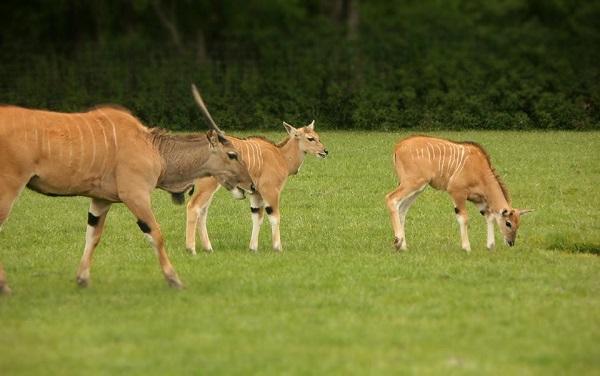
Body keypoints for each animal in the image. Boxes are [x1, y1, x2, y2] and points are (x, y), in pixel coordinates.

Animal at [0, 85, 253, 294]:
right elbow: (156, 235)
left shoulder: (100, 200)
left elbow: (93, 236)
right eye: (232, 154)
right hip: (9, 188)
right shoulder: (136, 195)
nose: (250, 185)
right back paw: (5, 287)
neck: (154, 148)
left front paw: (82, 279)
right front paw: (174, 280)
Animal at [188, 122, 328, 254]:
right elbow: (275, 217)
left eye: (318, 137)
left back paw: (208, 248)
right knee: (193, 207)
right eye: (310, 138)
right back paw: (191, 248)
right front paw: (277, 248)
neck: (280, 156)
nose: (325, 151)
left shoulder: (255, 194)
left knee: (202, 212)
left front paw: (253, 248)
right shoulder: (270, 191)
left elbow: (257, 218)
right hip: (207, 186)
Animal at [386, 135, 532, 253]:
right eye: (508, 223)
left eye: (518, 224)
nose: (511, 242)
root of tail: (399, 146)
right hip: (413, 183)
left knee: (402, 209)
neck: (480, 169)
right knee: (391, 198)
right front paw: (466, 247)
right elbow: (464, 218)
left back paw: (403, 246)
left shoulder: (479, 201)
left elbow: (489, 216)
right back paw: (397, 241)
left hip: (418, 187)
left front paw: (490, 246)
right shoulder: (457, 192)